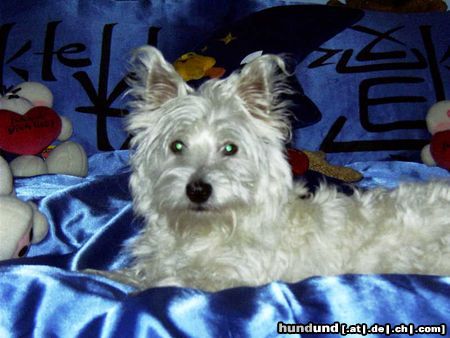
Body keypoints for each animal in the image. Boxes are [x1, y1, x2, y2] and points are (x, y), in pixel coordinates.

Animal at [118, 46, 450, 292]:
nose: (197, 190)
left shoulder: (233, 276)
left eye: (230, 148)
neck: (206, 229)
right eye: (176, 146)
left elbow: (168, 282)